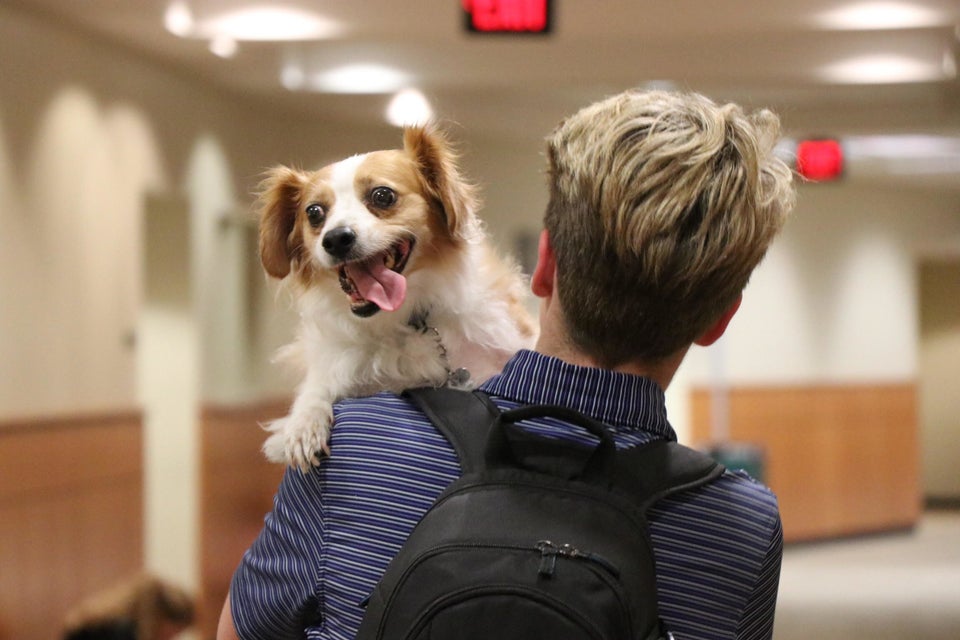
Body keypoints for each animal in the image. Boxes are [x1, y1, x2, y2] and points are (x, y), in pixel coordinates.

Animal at [258, 124, 536, 470]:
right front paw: (302, 424)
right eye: (314, 213)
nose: (335, 239)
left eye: (382, 195)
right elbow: (317, 387)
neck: (406, 319)